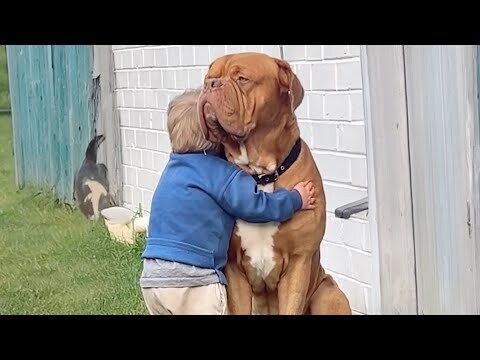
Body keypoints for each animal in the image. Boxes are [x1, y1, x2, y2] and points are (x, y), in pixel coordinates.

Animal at [197, 52, 350, 316]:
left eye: (242, 78)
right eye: (209, 77)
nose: (210, 85)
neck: (261, 175)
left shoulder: (299, 262)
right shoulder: (234, 268)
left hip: (328, 295)